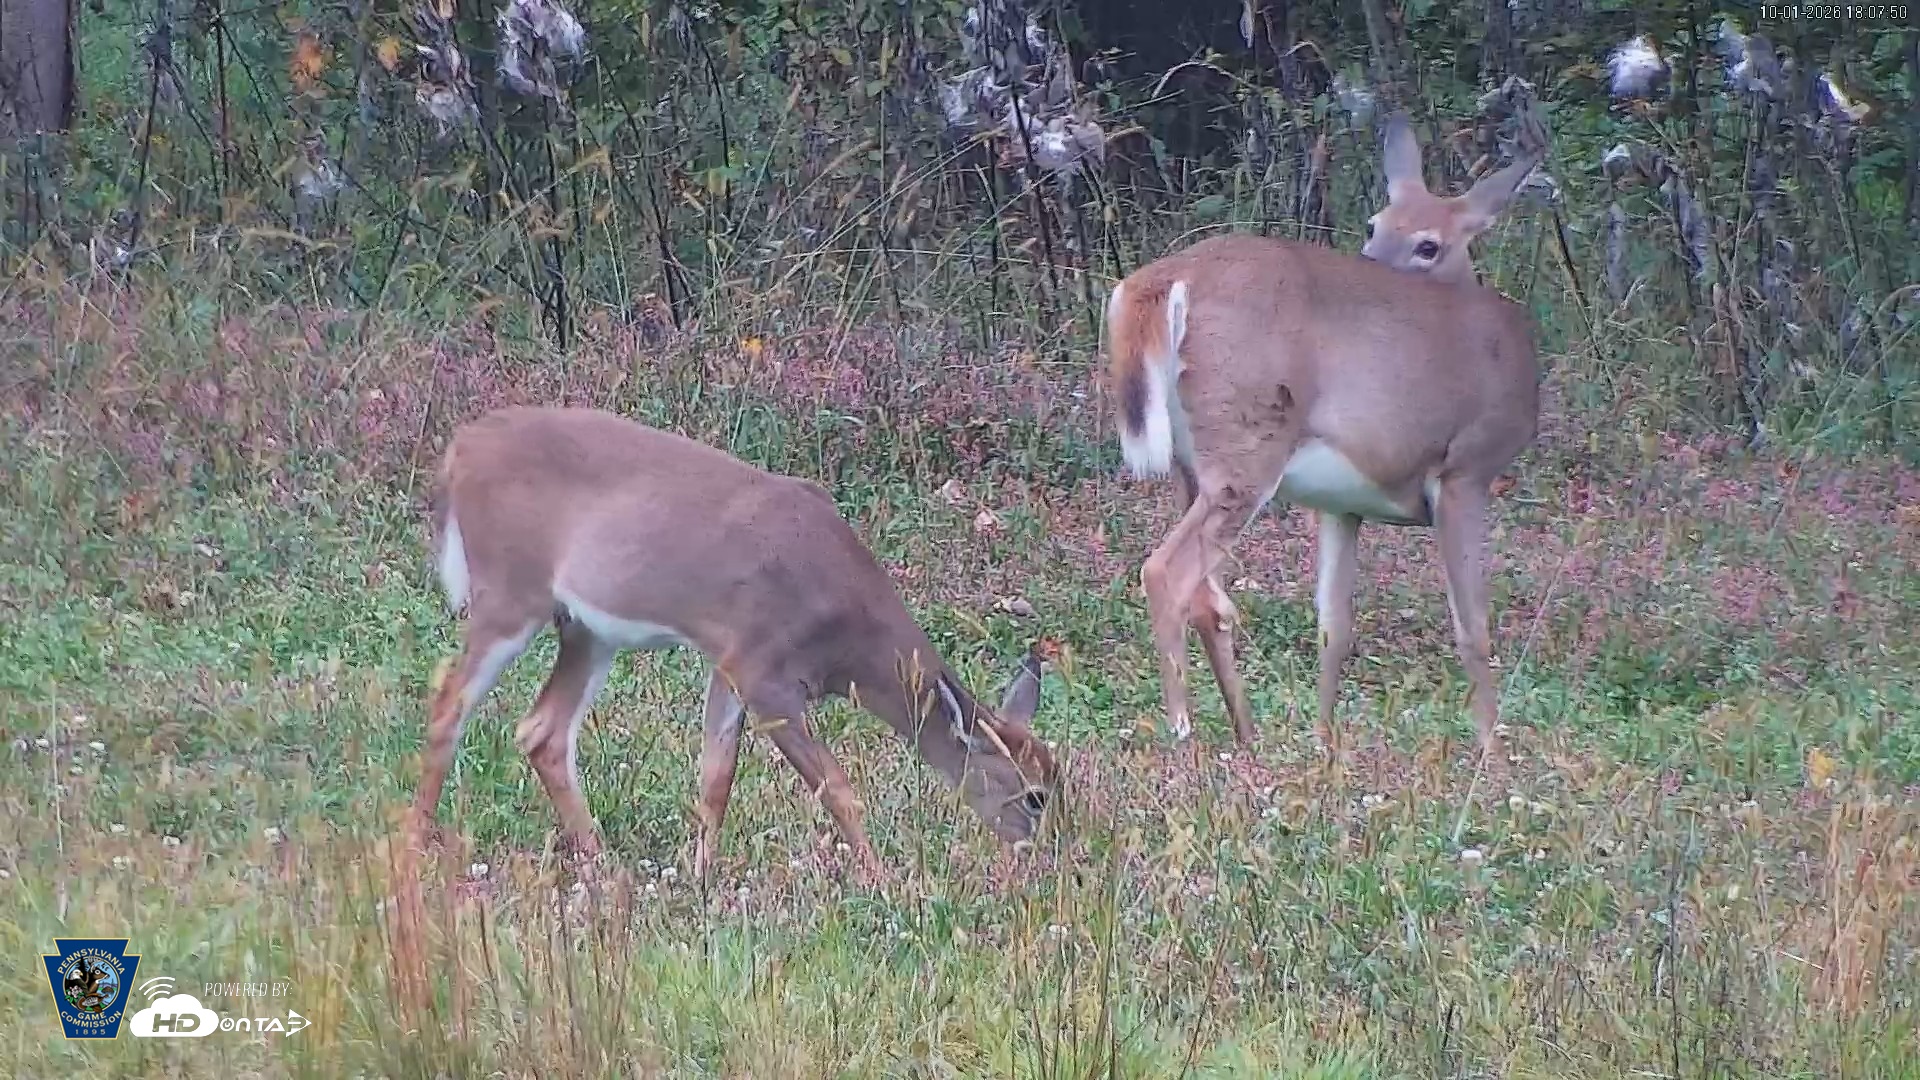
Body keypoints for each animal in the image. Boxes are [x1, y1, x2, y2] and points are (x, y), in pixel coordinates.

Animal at [406, 405, 1059, 881]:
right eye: (1034, 796)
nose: (1048, 860)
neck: (850, 637)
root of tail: (460, 449)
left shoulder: (730, 662)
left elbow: (716, 777)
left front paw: (701, 878)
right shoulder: (766, 674)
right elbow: (837, 788)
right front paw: (886, 882)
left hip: (586, 626)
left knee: (541, 730)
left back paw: (602, 863)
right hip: (509, 591)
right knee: (450, 702)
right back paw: (417, 841)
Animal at [1103, 111, 1543, 762]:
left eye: (1426, 243)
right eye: (1376, 226)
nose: (1371, 261)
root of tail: (1164, 280)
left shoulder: (1344, 504)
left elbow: (1333, 625)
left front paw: (1324, 743)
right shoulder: (1465, 467)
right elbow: (1473, 625)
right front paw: (1492, 752)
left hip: (1191, 466)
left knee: (1209, 597)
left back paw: (1246, 735)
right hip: (1248, 447)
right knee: (1166, 572)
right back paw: (1183, 732)